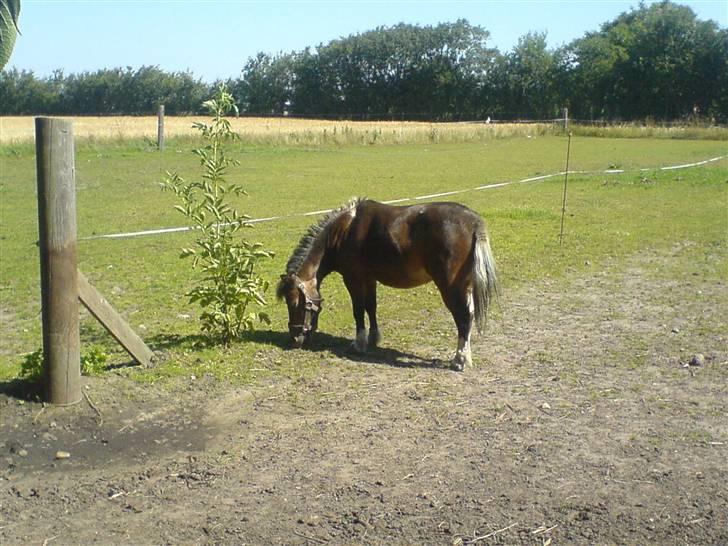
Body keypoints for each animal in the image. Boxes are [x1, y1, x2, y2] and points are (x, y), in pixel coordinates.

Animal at [276, 197, 498, 370]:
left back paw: (459, 360)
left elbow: (358, 310)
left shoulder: (353, 279)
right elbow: (371, 307)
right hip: (465, 286)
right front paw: (374, 338)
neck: (343, 230)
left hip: (451, 287)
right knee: (469, 316)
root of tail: (473, 222)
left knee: (463, 318)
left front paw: (359, 344)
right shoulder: (369, 279)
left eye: (293, 303)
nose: (295, 338)